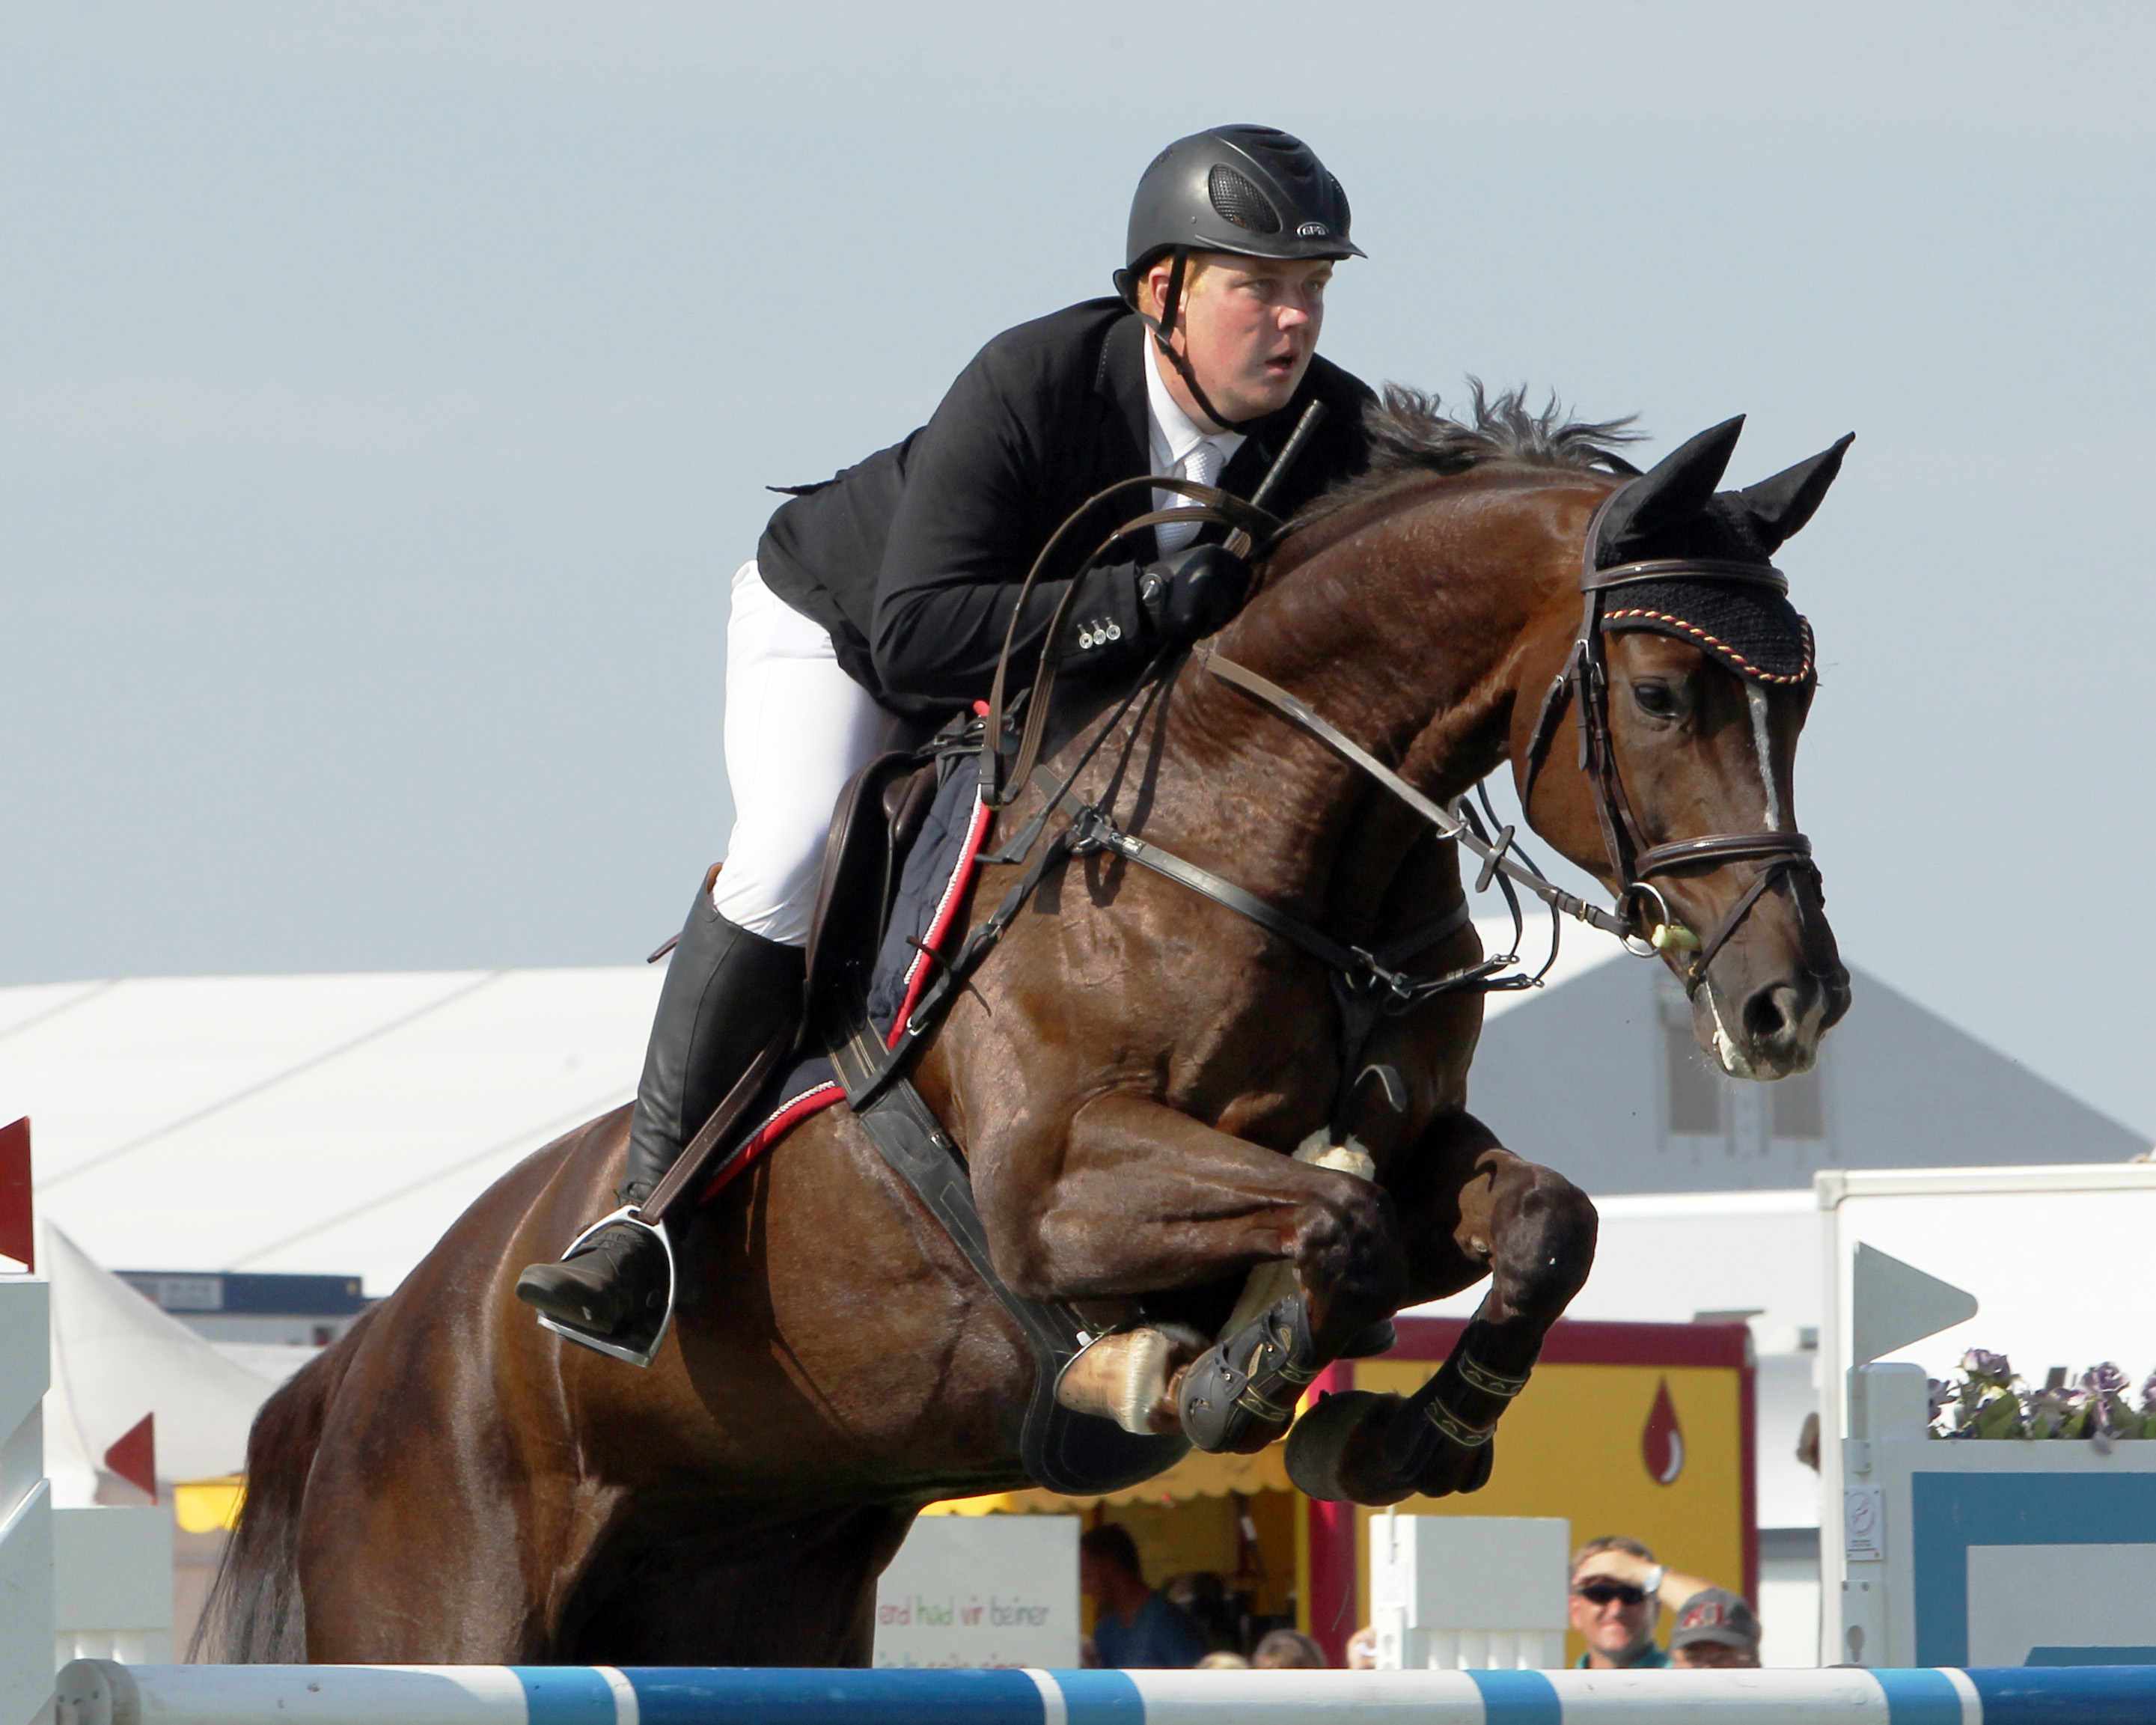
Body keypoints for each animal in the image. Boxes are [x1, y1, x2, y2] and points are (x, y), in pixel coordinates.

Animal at [206, 388, 1854, 1655]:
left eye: (1805, 698)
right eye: (1661, 694)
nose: (1790, 1003)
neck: (1253, 822)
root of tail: (360, 1358)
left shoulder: (1418, 1146)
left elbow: (1541, 1219)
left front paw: (1405, 1431)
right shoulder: (1056, 1187)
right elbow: (1333, 1228)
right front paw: (1211, 1375)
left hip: (746, 1598)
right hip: (445, 1596)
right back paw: (609, 1270)